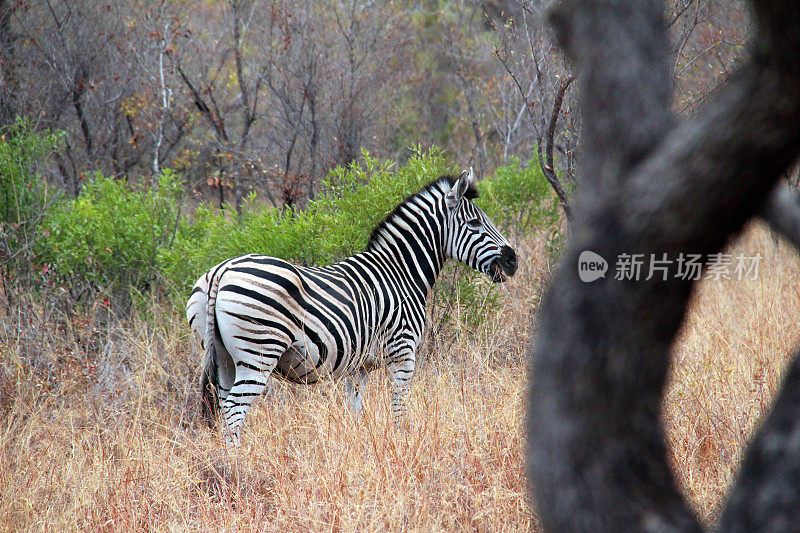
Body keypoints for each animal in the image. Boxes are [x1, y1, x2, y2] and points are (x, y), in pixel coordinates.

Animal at [189, 168, 520, 442]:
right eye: (475, 223)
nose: (513, 260)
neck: (401, 273)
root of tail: (222, 270)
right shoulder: (403, 352)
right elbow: (399, 410)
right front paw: (402, 445)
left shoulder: (357, 366)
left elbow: (355, 410)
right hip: (258, 352)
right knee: (234, 411)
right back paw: (238, 466)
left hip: (223, 356)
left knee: (224, 408)